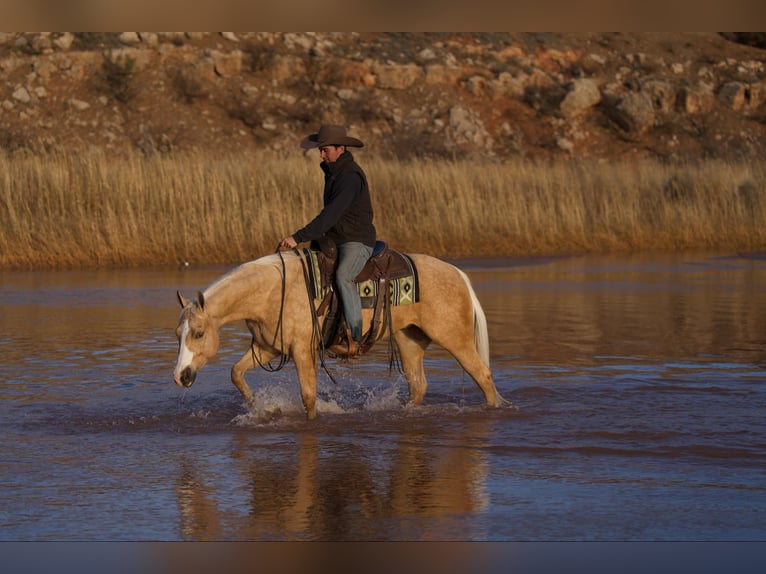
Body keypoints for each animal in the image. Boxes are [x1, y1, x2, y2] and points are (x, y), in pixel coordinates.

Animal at [176, 250, 508, 420]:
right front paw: (259, 406)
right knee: (419, 387)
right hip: (409, 340)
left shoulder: (301, 351)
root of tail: (459, 274)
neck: (271, 290)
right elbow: (236, 372)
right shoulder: (268, 347)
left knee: (483, 375)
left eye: (199, 333)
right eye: (178, 333)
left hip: (456, 340)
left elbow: (309, 396)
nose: (181, 376)